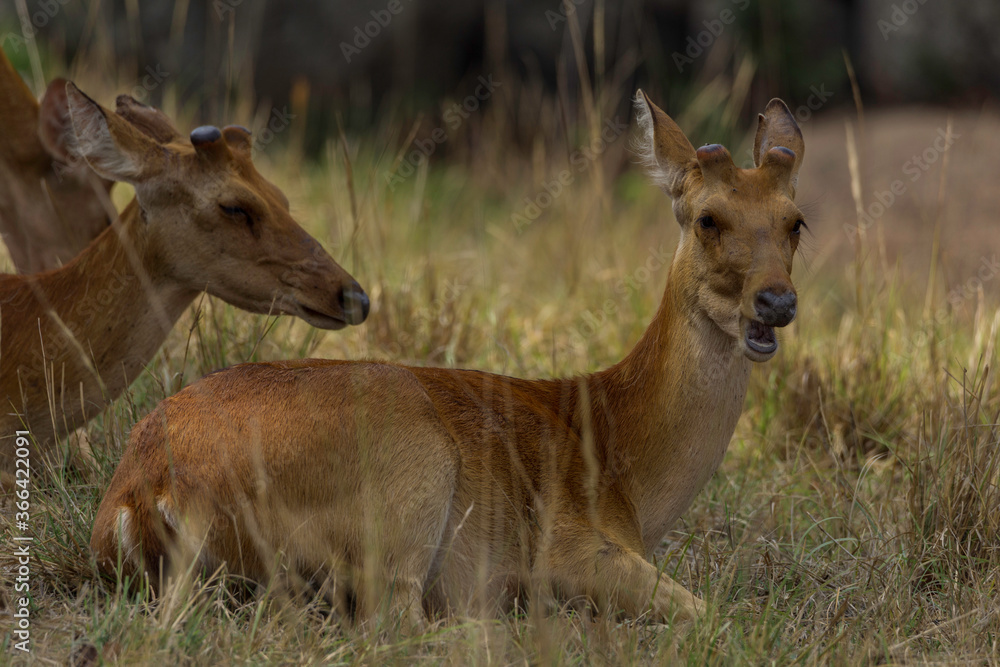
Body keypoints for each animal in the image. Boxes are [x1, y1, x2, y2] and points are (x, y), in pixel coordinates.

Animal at [90, 91, 805, 631]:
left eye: (796, 220)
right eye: (708, 218)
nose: (776, 300)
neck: (618, 453)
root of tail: (147, 494)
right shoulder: (570, 547)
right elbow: (714, 611)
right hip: (407, 479)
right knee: (395, 620)